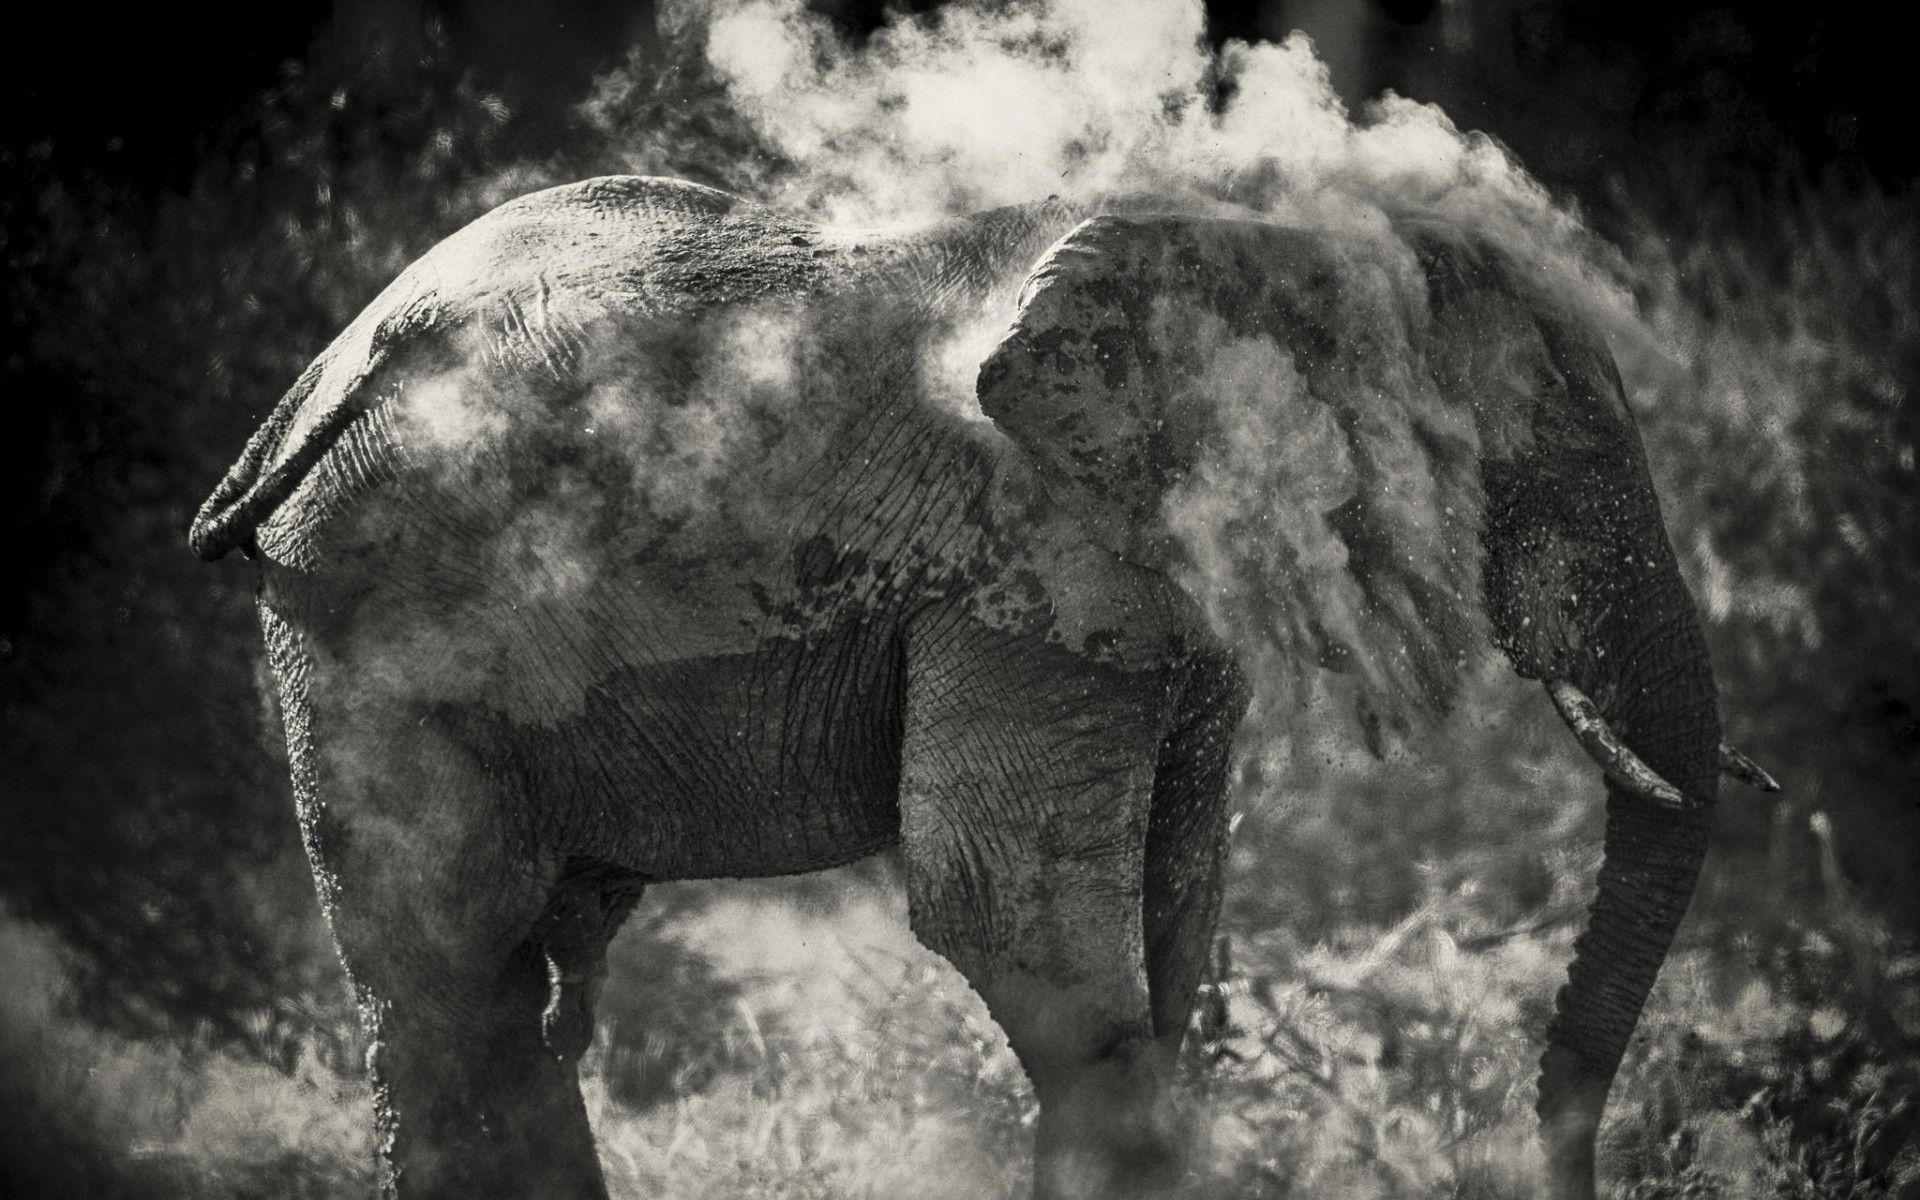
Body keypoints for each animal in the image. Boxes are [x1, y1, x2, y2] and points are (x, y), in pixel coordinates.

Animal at [190, 176, 1777, 1199]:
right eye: (1542, 461)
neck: (1258, 242)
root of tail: (319, 376)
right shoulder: (1026, 561)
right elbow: (1009, 919)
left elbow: (1174, 912)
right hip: (365, 607)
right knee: (448, 980)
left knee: (506, 990)